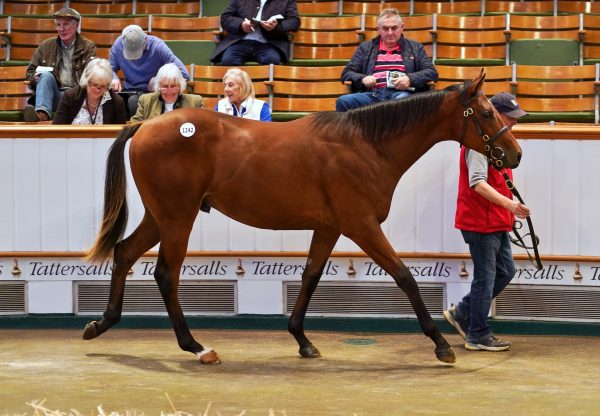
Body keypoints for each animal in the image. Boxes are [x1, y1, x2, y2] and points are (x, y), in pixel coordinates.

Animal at [83, 73, 520, 366]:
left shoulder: (329, 227)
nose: (514, 155)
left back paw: (101, 323)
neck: (366, 145)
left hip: (162, 216)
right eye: (486, 112)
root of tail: (144, 125)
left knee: (124, 253)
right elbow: (404, 276)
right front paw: (441, 345)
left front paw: (302, 340)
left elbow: (310, 275)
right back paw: (196, 346)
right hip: (178, 217)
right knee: (165, 274)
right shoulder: (362, 225)